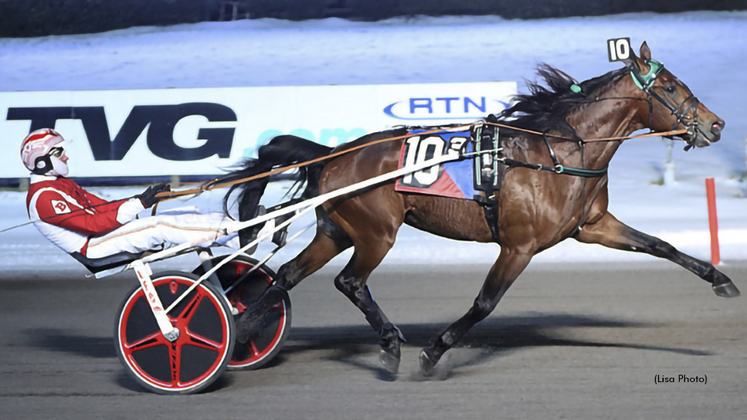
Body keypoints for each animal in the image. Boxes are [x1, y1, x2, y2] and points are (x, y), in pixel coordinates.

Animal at [219, 42, 740, 374]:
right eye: (669, 87)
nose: (716, 124)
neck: (557, 152)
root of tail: (333, 154)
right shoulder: (519, 246)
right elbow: (486, 302)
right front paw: (435, 352)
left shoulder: (592, 225)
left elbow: (660, 245)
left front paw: (722, 280)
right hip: (376, 233)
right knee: (349, 282)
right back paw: (388, 344)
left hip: (337, 230)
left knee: (287, 275)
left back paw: (242, 328)